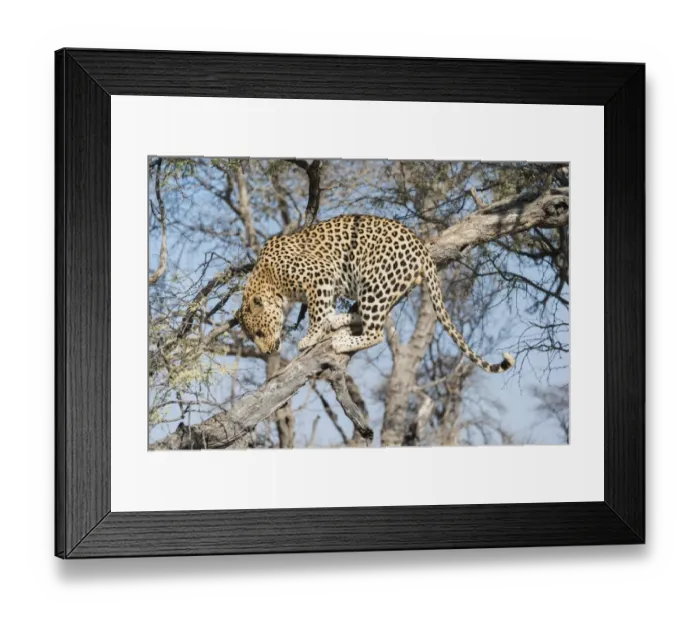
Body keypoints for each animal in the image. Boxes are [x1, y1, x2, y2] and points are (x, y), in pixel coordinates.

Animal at [233, 214, 515, 373]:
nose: (266, 353)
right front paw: (325, 324)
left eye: (260, 332)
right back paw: (339, 321)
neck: (267, 278)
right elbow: (325, 309)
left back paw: (341, 341)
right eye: (253, 337)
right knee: (367, 317)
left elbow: (317, 313)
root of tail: (422, 248)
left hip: (374, 282)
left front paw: (311, 337)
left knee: (376, 332)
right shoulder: (325, 286)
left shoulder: (320, 276)